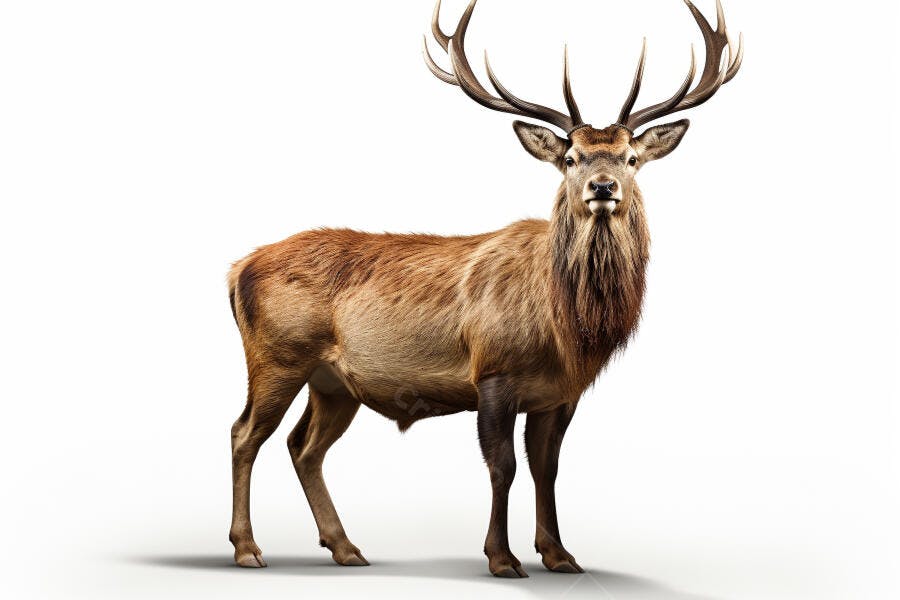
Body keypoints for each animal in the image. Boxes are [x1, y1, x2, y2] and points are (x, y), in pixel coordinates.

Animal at [226, 0, 743, 578]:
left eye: (631, 158)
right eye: (571, 158)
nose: (603, 187)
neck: (566, 329)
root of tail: (237, 269)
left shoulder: (560, 392)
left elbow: (548, 467)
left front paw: (559, 554)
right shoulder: (493, 370)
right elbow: (503, 466)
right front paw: (502, 557)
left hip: (334, 381)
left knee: (304, 446)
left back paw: (345, 547)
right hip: (277, 356)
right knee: (245, 433)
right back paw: (247, 547)